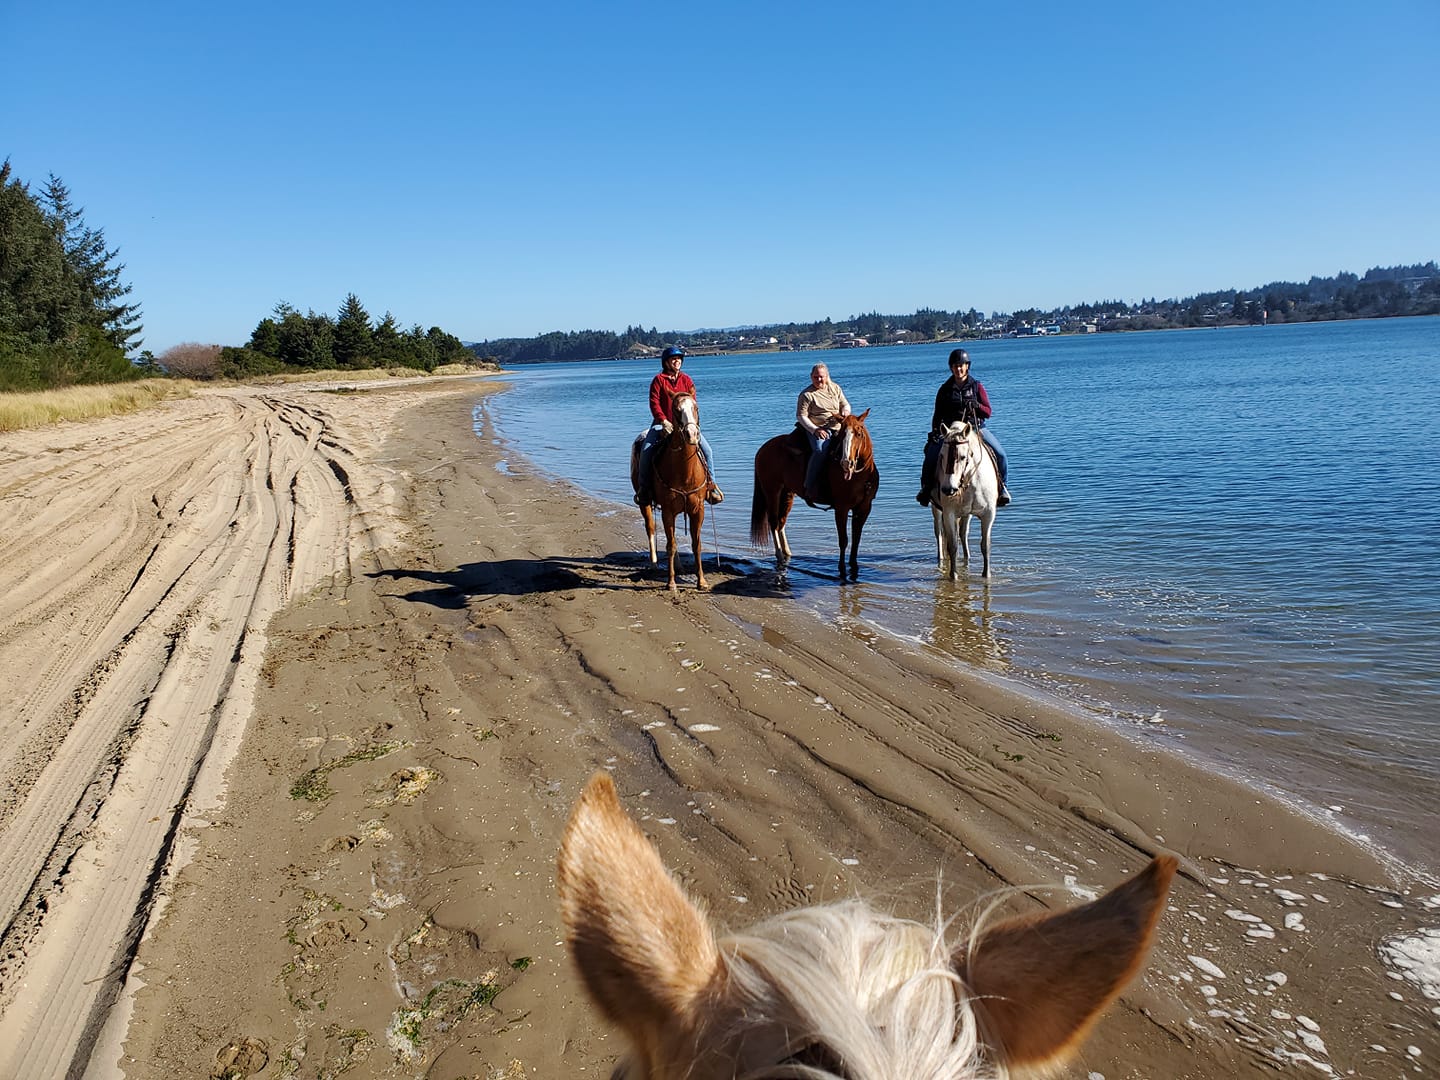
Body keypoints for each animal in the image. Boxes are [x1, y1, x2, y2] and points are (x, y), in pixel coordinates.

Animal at [633, 394, 711, 593]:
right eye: (676, 409)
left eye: (696, 408)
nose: (692, 434)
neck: (685, 472)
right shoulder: (668, 511)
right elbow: (670, 545)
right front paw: (671, 583)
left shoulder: (697, 510)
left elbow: (696, 545)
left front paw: (702, 582)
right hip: (645, 503)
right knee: (651, 528)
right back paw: (653, 563)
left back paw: (679, 566)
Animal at [754, 408, 875, 584]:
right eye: (841, 436)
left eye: (859, 433)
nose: (846, 463)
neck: (860, 477)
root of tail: (763, 449)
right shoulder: (842, 508)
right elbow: (844, 540)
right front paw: (842, 571)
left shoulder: (864, 509)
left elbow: (856, 540)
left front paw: (854, 568)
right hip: (772, 491)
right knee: (774, 522)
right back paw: (779, 556)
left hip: (787, 493)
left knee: (781, 522)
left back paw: (788, 553)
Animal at [927, 417, 996, 578]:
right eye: (941, 456)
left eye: (963, 457)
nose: (948, 489)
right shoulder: (949, 514)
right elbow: (952, 546)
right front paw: (953, 576)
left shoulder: (988, 515)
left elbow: (985, 546)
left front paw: (987, 575)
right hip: (936, 510)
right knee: (939, 533)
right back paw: (940, 559)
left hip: (966, 514)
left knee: (963, 533)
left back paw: (967, 557)